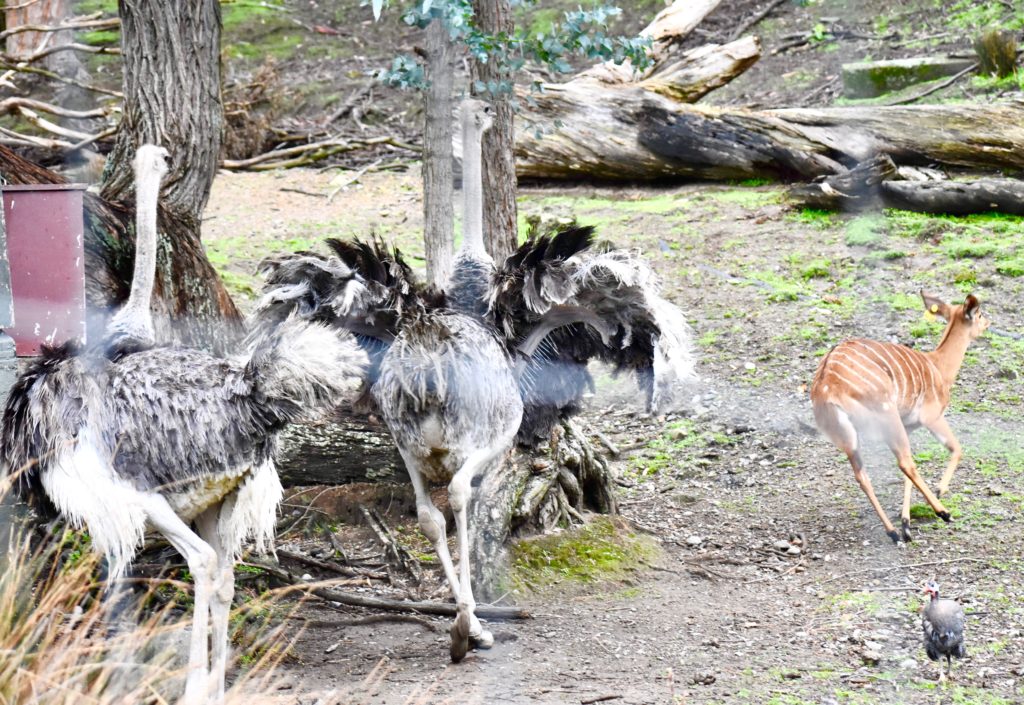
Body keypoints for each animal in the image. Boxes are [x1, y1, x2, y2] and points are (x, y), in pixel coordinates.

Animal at [811, 288, 987, 541]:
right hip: (887, 415)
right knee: (905, 463)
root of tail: (827, 385)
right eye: (980, 314)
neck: (938, 366)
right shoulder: (931, 417)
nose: (988, 323)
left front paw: (906, 523)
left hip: (850, 436)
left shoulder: (909, 426)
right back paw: (943, 512)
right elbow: (956, 448)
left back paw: (893, 532)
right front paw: (940, 491)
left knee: (863, 475)